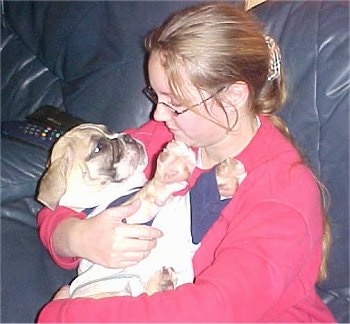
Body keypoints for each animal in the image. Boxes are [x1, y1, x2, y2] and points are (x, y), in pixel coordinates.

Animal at [38, 123, 198, 298]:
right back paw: (162, 283)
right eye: (98, 148)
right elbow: (147, 194)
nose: (127, 137)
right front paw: (171, 168)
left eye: (109, 130)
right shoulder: (129, 218)